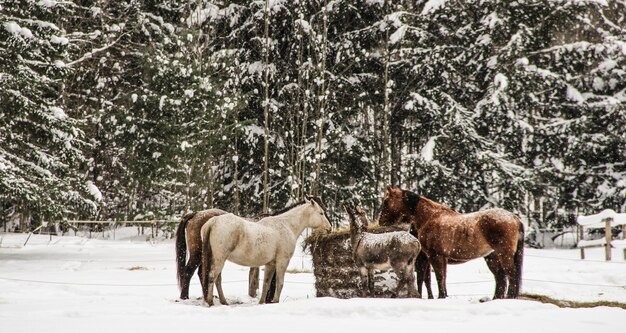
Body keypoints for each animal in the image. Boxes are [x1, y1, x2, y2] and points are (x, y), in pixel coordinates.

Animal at [201, 196, 332, 304]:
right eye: (321, 213)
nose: (329, 228)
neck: (286, 225)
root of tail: (213, 221)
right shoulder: (282, 261)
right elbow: (279, 282)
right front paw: (275, 301)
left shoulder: (270, 264)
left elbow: (266, 284)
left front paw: (262, 302)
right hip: (220, 259)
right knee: (212, 277)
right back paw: (211, 302)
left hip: (217, 259)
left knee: (217, 280)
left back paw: (223, 302)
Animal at [376, 187, 520, 298]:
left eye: (386, 202)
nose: (381, 221)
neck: (430, 217)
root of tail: (514, 218)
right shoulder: (440, 257)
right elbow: (441, 278)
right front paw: (443, 296)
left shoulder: (434, 256)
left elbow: (438, 278)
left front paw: (440, 297)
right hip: (493, 257)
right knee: (501, 279)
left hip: (504, 255)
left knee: (511, 276)